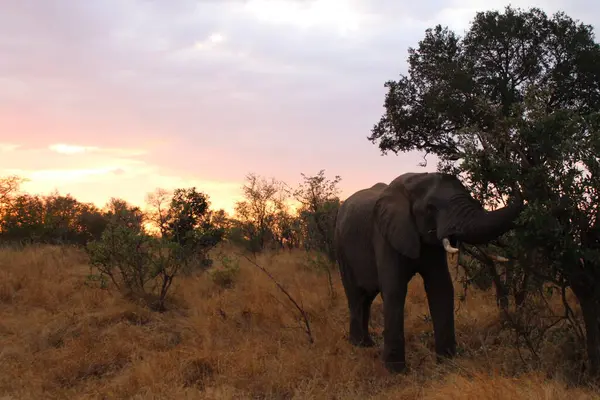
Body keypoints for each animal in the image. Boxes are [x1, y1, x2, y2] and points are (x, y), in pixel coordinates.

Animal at [330, 171, 524, 372]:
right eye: (431, 208)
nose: (515, 185)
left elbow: (441, 287)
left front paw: (447, 364)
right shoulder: (385, 235)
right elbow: (394, 290)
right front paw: (396, 371)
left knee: (367, 297)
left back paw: (367, 344)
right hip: (340, 246)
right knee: (355, 295)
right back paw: (357, 345)